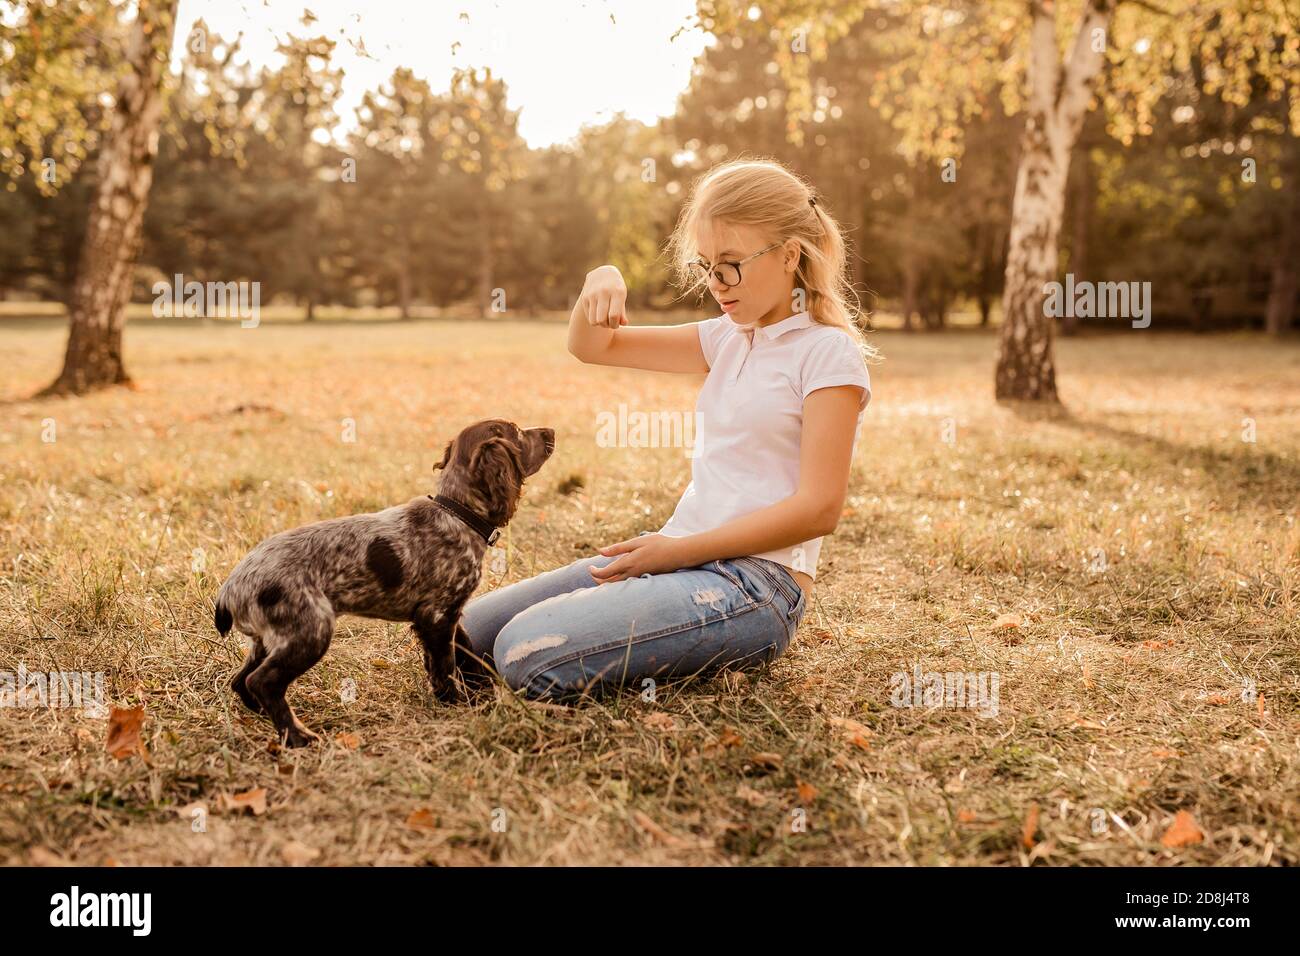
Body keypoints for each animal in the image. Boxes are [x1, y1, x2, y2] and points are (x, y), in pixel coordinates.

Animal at [211, 418, 553, 749]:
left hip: (267, 640)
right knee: (263, 682)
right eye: (518, 432)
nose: (550, 431)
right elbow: (445, 665)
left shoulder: (448, 614)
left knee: (242, 681)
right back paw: (296, 736)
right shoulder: (437, 616)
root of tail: (231, 588)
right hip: (309, 631)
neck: (457, 513)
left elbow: (463, 652)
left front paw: (479, 691)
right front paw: (455, 702)